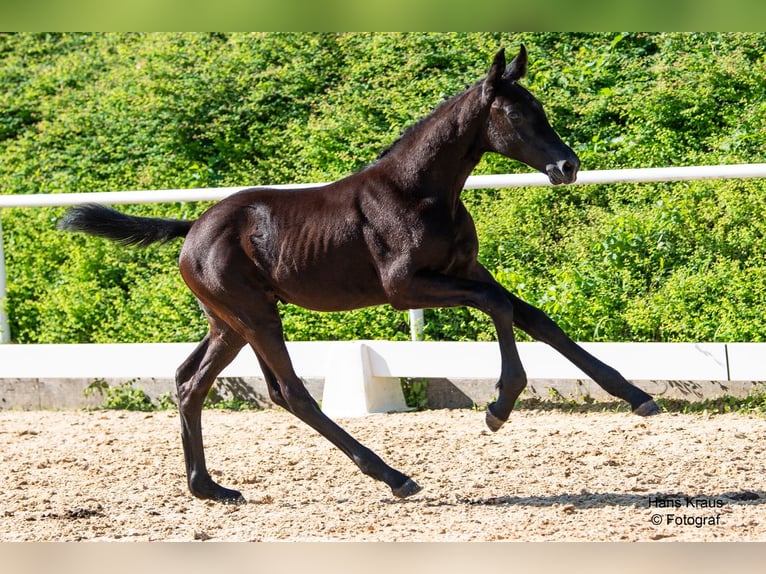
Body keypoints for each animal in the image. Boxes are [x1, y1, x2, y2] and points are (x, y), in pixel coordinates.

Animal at [61, 47, 660, 506]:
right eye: (516, 117)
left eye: (540, 109)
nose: (567, 166)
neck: (420, 192)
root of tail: (193, 229)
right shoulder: (404, 288)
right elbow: (501, 307)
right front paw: (498, 407)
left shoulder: (465, 269)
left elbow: (534, 316)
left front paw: (635, 396)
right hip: (256, 314)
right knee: (290, 393)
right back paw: (395, 477)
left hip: (228, 322)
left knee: (190, 382)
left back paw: (210, 489)